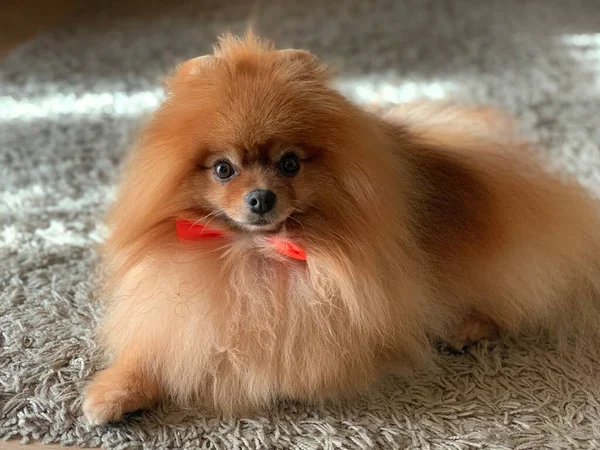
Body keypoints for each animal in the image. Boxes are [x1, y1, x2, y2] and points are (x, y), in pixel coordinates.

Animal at [83, 33, 600, 424]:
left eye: (289, 163)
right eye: (223, 170)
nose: (261, 198)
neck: (256, 254)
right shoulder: (174, 314)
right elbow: (159, 349)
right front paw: (114, 392)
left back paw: (465, 327)